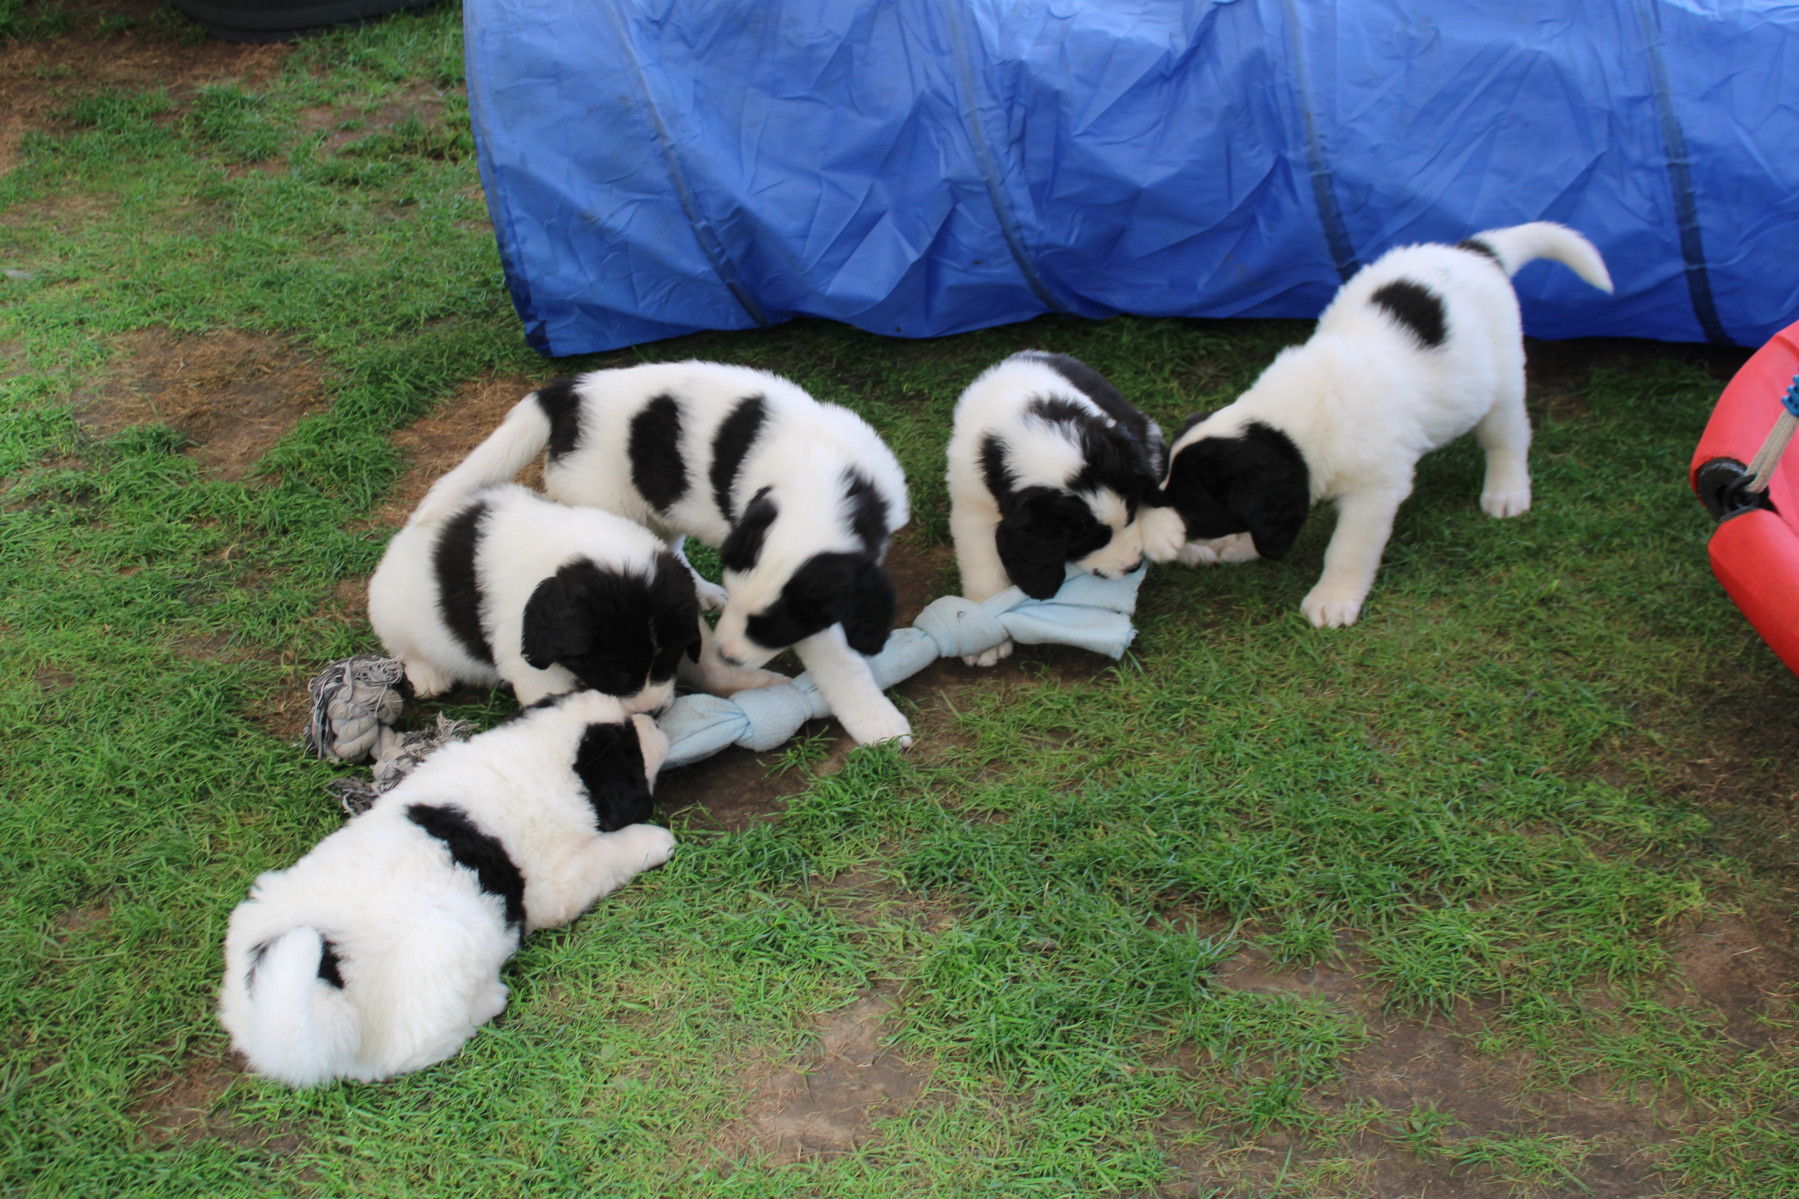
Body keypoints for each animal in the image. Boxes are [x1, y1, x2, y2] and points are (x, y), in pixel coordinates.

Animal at [219, 690, 676, 1087]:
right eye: (631, 748)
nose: (654, 721)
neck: (525, 761)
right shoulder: (558, 878)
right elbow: (608, 854)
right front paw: (654, 841)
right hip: (445, 949)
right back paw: (489, 999)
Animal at [368, 482, 783, 710]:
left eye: (665, 661)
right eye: (617, 671)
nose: (652, 712)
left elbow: (706, 658)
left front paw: (755, 684)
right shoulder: (534, 669)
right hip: (391, 610)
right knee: (404, 648)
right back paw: (427, 674)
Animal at [412, 361, 914, 746]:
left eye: (772, 626)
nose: (724, 657)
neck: (831, 480)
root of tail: (570, 392)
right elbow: (839, 663)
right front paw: (877, 723)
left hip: (661, 510)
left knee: (671, 554)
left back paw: (702, 591)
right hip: (606, 505)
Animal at [946, 351, 1165, 666]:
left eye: (1132, 514)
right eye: (1091, 540)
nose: (1134, 565)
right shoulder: (970, 506)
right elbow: (982, 565)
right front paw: (985, 638)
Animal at [1140, 222, 1613, 628]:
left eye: (1192, 502)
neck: (1293, 422)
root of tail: (1476, 252)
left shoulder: (1376, 491)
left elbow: (1347, 549)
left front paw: (1332, 598)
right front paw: (1234, 545)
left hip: (1502, 379)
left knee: (1508, 437)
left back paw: (1506, 491)